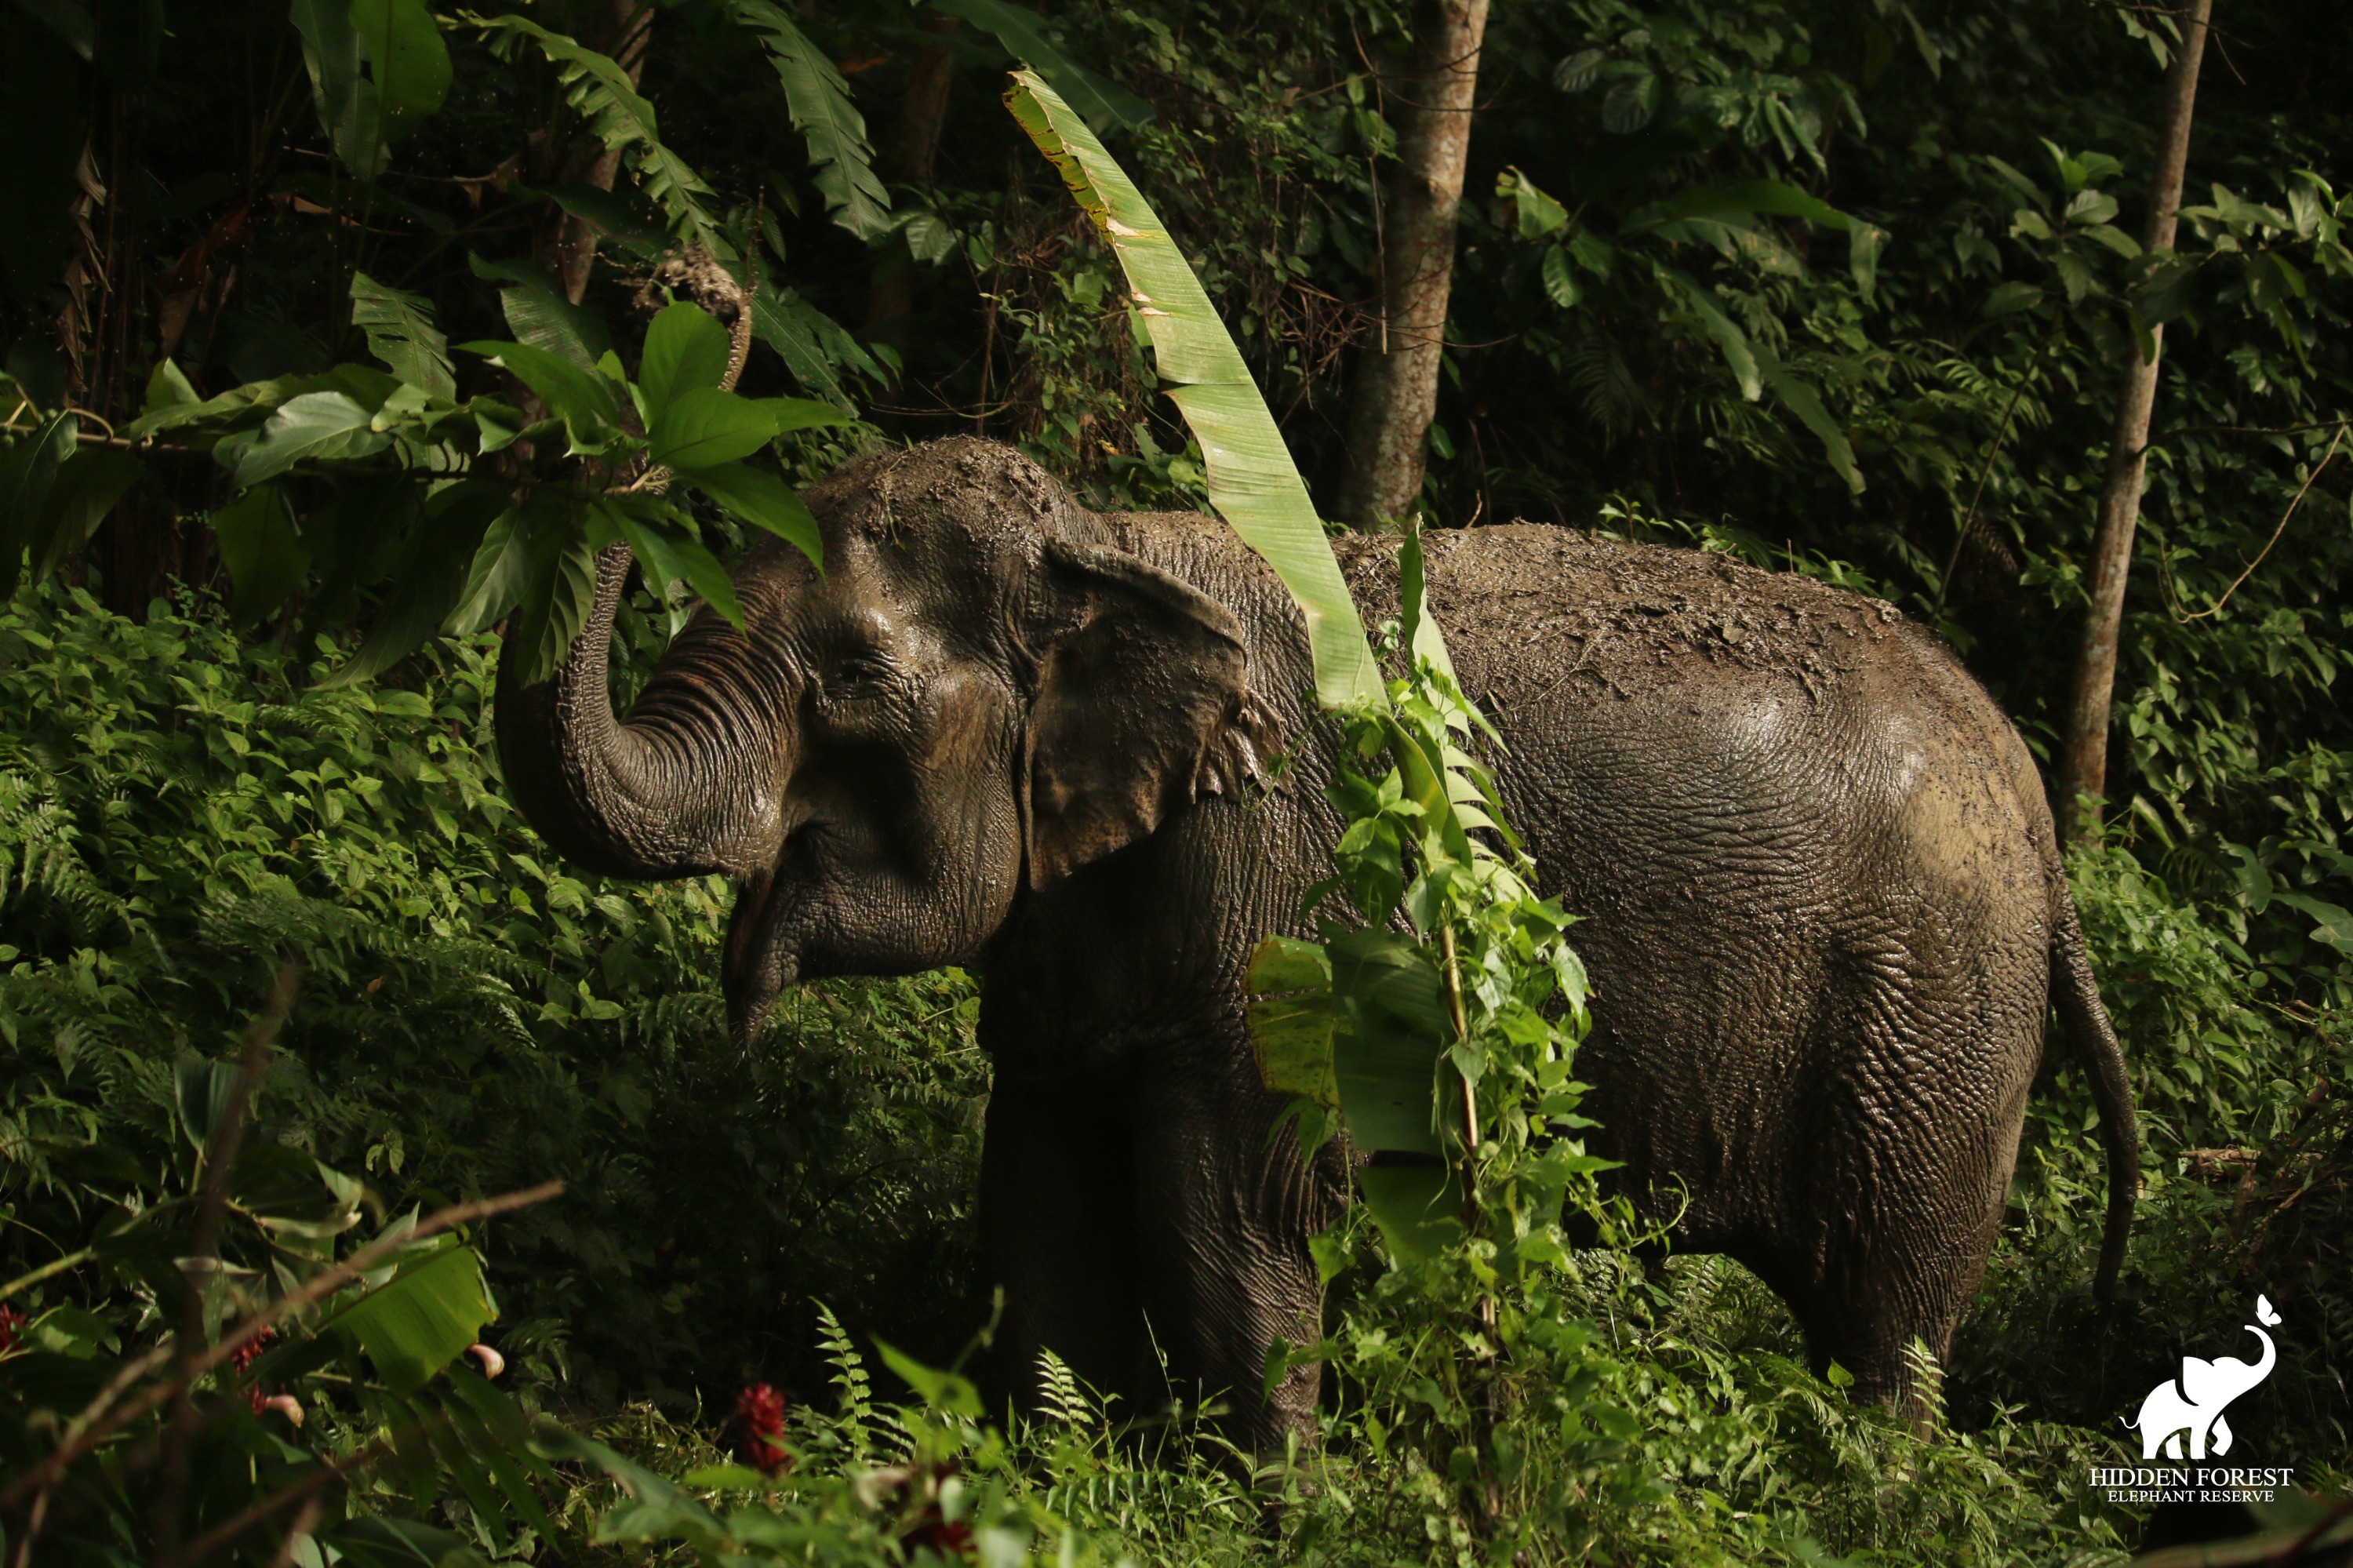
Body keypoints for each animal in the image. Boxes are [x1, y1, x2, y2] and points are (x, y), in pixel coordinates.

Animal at [492, 433, 2137, 1431]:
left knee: (1885, 1320)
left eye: (846, 681)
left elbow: (1231, 1215)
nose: (693, 283)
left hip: (1931, 1023)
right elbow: (1037, 1209)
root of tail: (2044, 832)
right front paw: (1068, 1466)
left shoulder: (1289, 911)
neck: (1106, 540)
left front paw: (1275, 1492)